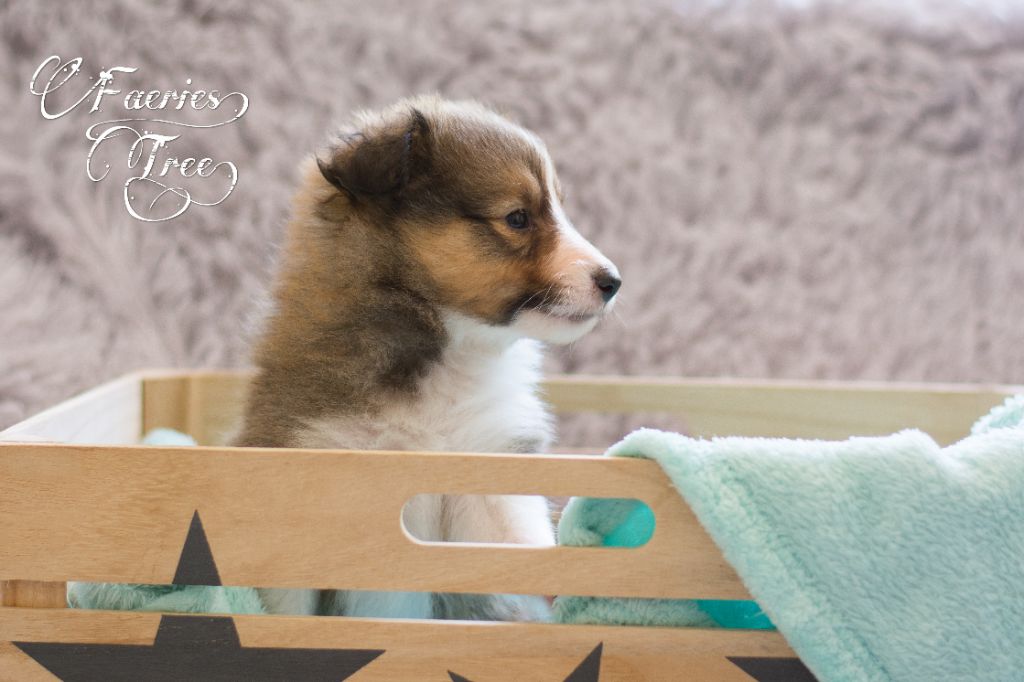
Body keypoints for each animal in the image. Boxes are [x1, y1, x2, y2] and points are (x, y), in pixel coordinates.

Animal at [232, 95, 621, 621]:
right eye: (518, 218)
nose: (613, 281)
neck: (444, 360)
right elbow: (286, 606)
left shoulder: (491, 474)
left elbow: (523, 552)